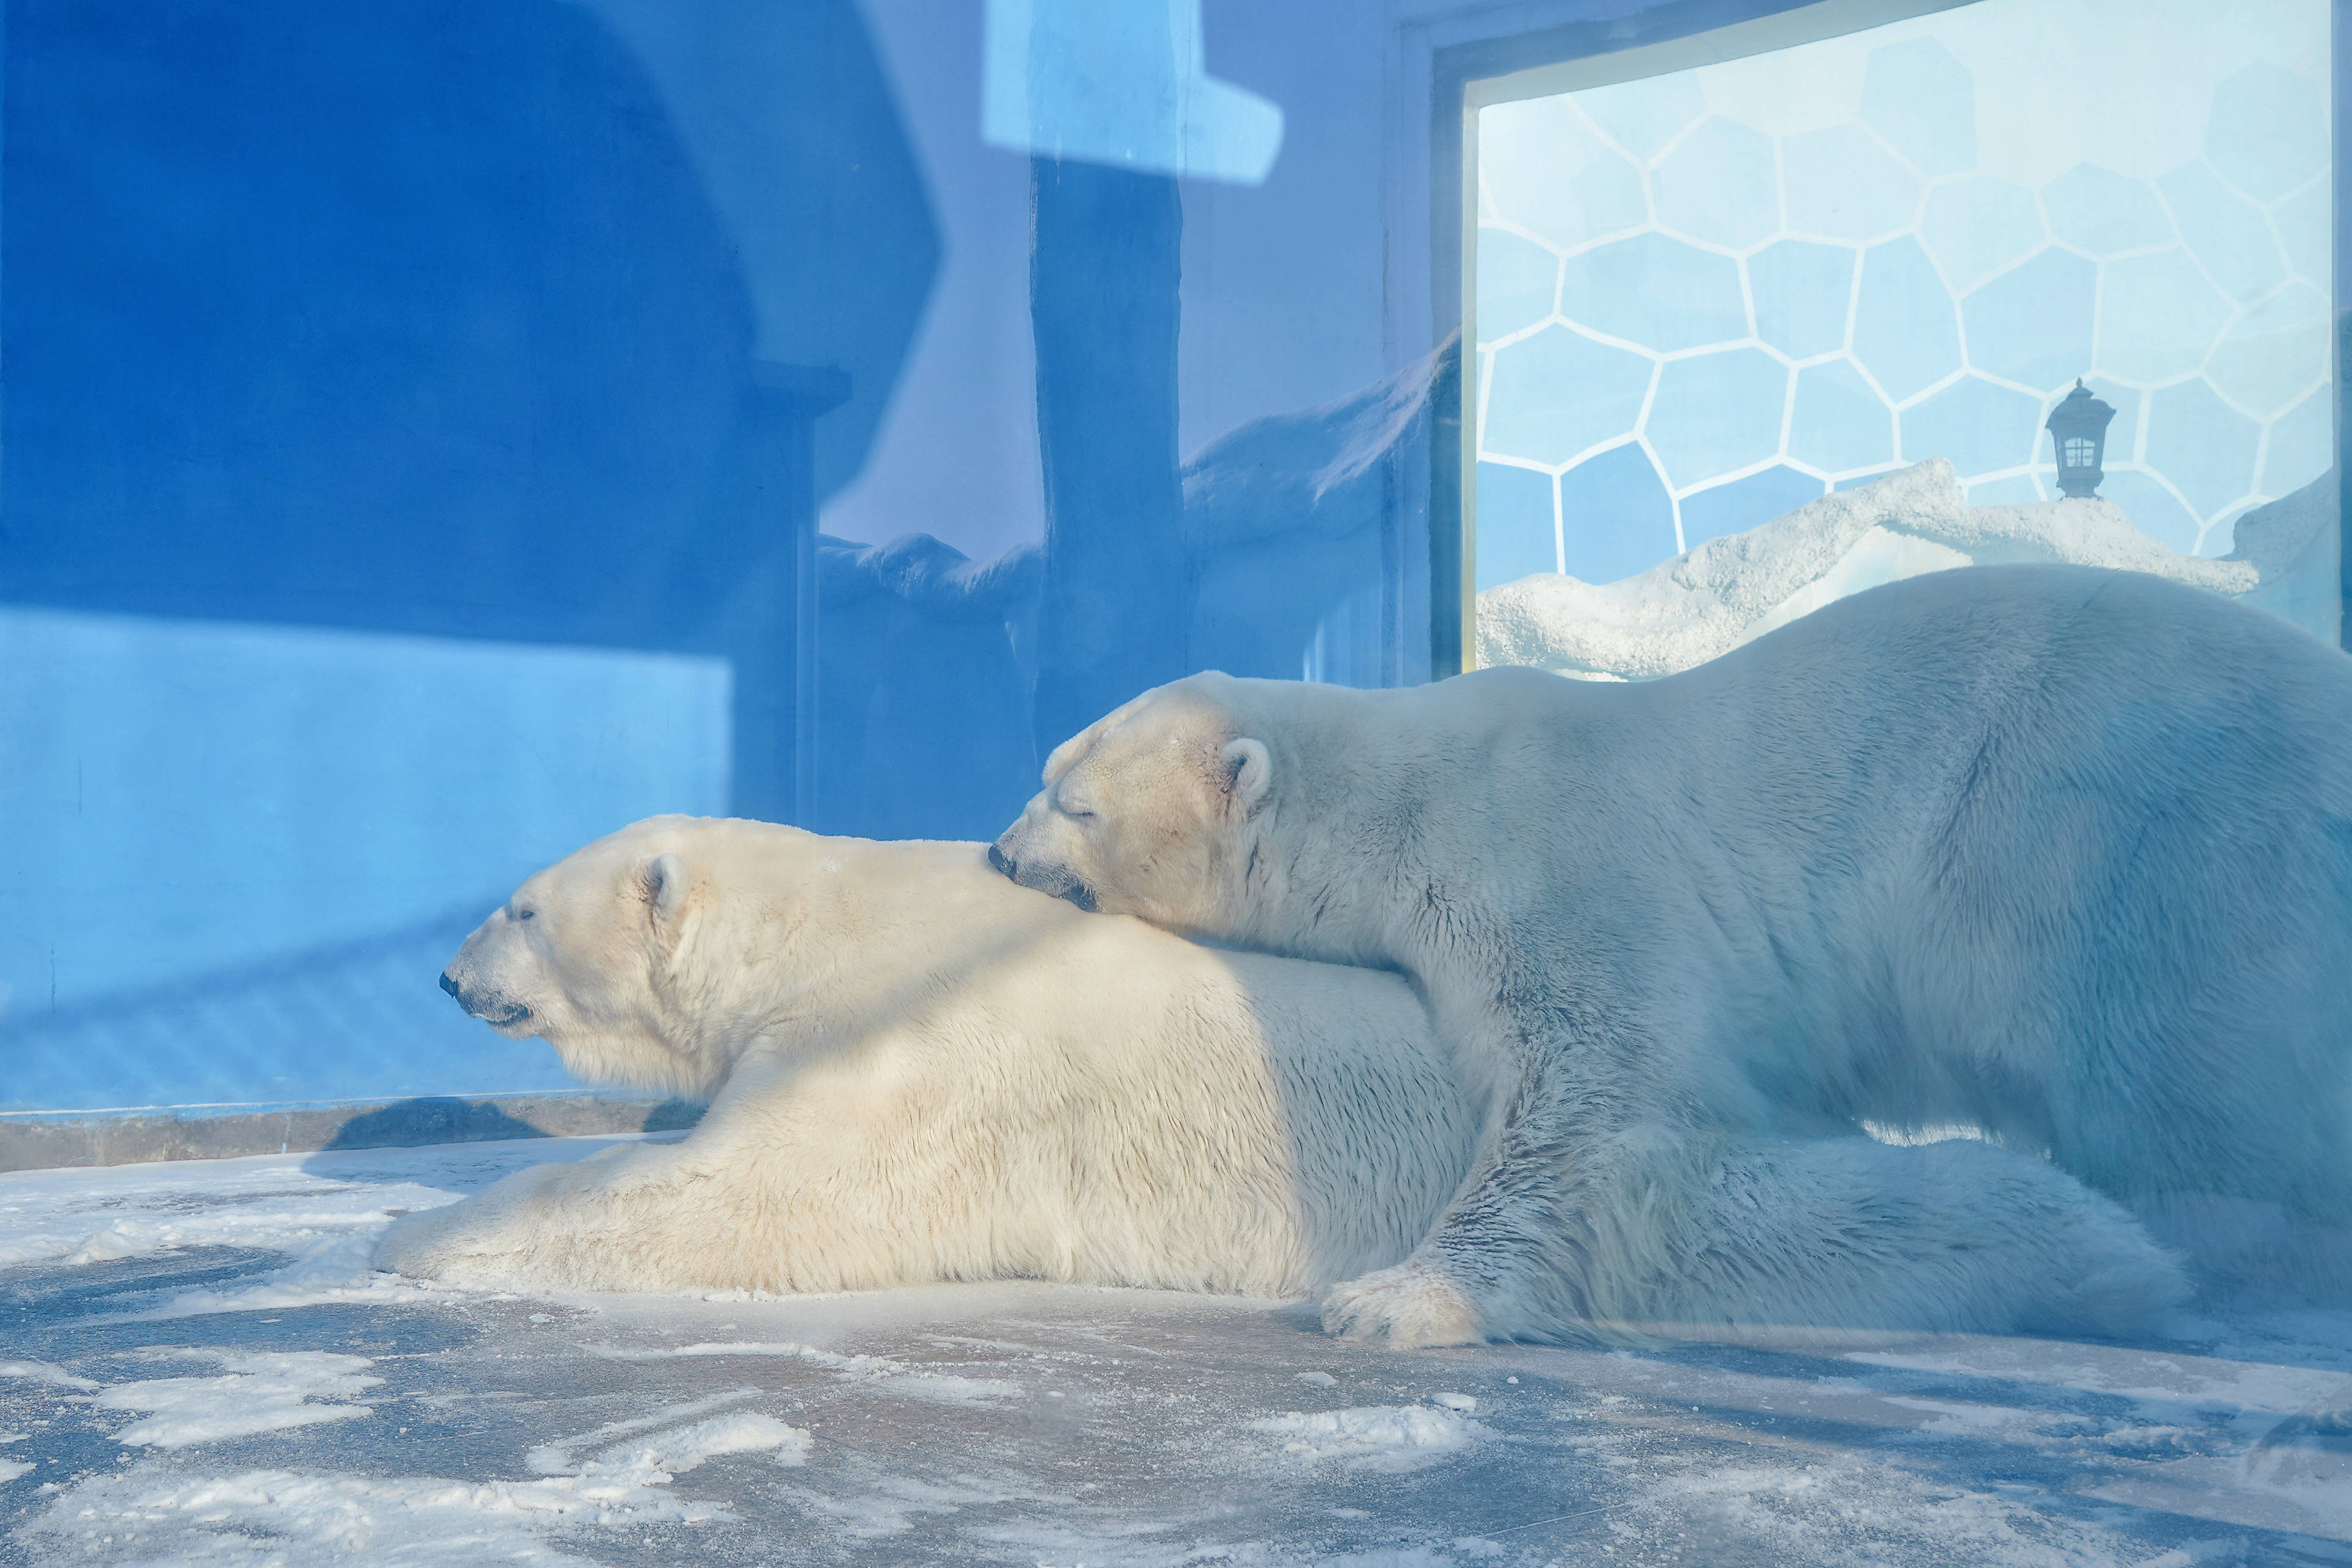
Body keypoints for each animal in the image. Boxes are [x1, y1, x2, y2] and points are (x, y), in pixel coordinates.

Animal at [376, 818, 2173, 1344]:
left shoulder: (899, 1040)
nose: (447, 976)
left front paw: (418, 1232)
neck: (834, 913)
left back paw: (2109, 1252)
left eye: (518, 902)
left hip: (1607, 1155)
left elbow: (748, 1189)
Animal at [978, 564, 2352, 1354]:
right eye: (1042, 771)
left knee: (2193, 1097)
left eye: (1076, 801)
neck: (1407, 788)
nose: (997, 850)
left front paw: (1391, 1298)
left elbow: (1604, 1111)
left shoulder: (1553, 859)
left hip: (2142, 846)